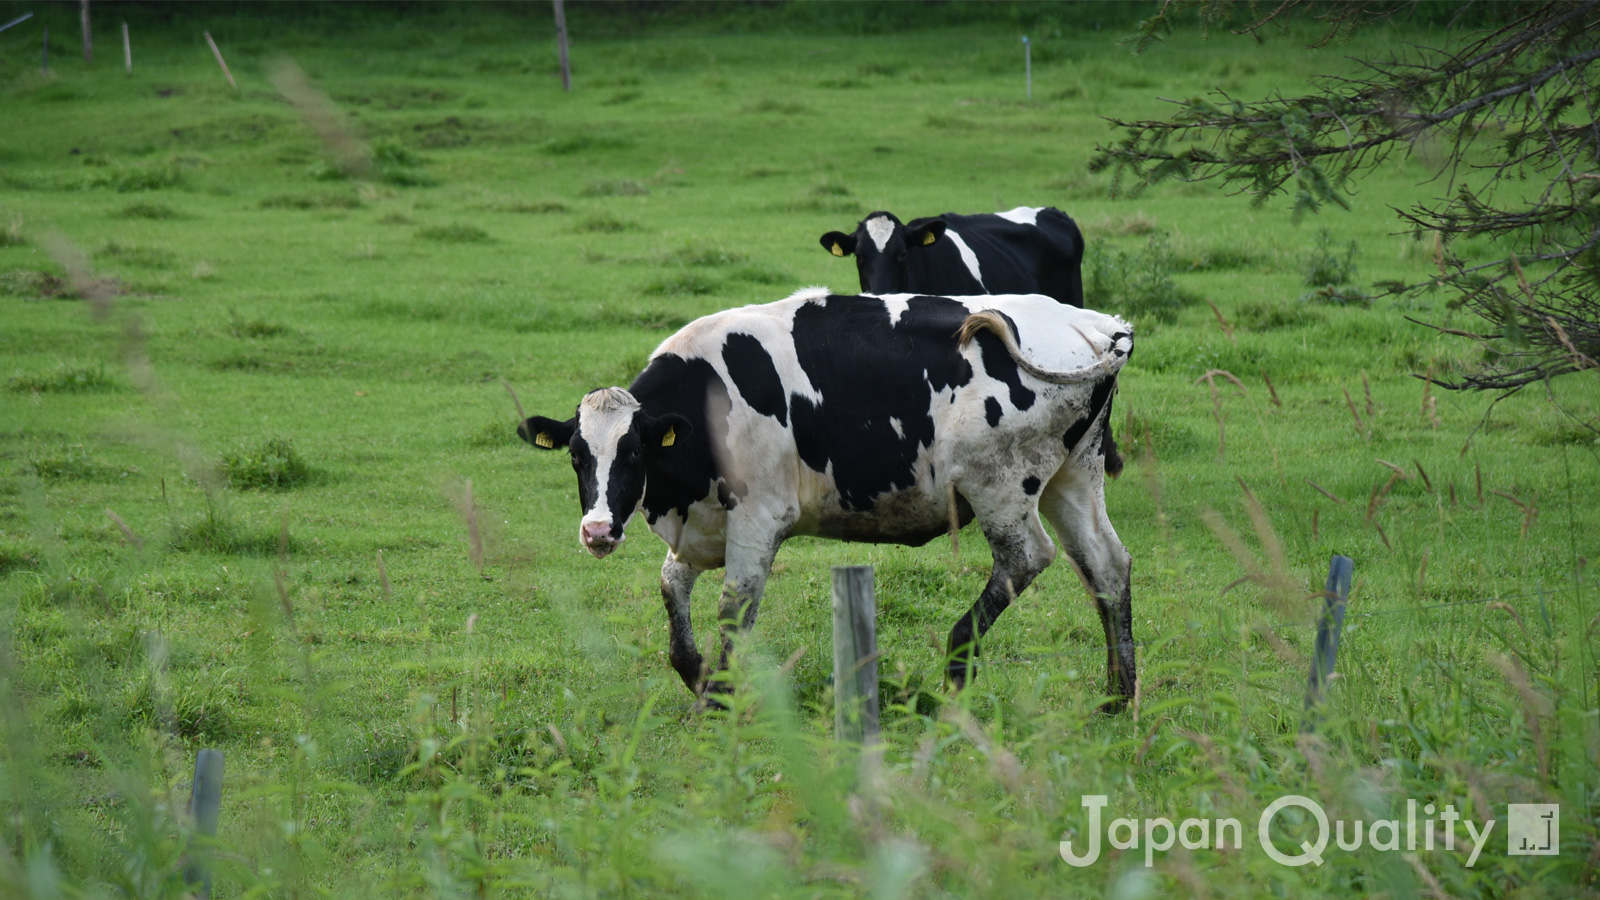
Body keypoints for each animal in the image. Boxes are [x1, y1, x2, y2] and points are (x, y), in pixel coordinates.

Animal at [515, 286, 1139, 707]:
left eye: (634, 454)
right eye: (577, 456)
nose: (597, 530)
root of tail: (1090, 323)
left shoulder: (760, 517)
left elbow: (734, 607)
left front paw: (717, 700)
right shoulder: (701, 526)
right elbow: (672, 592)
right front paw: (698, 675)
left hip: (1000, 482)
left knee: (1027, 557)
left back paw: (958, 664)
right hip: (1073, 476)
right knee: (1106, 564)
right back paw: (1118, 697)